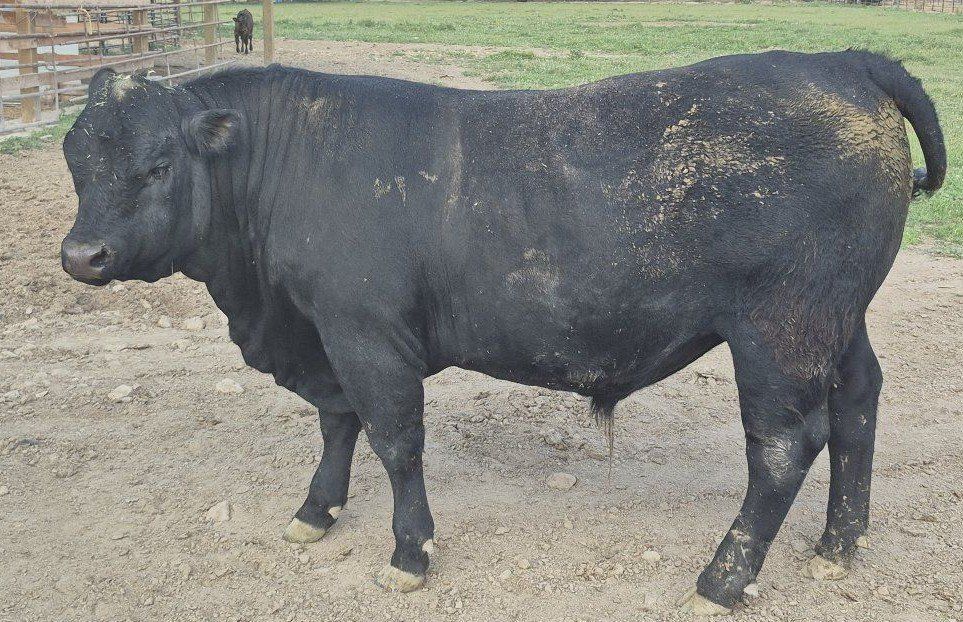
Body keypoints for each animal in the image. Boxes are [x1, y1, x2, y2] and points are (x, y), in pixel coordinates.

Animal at [59, 51, 945, 615]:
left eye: (158, 165)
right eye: (75, 160)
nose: (81, 255)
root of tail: (839, 59)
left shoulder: (365, 333)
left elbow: (394, 440)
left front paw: (408, 555)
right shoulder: (322, 336)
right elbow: (337, 422)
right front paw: (315, 513)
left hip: (778, 327)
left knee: (784, 445)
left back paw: (722, 580)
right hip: (837, 318)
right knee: (858, 403)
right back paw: (838, 544)